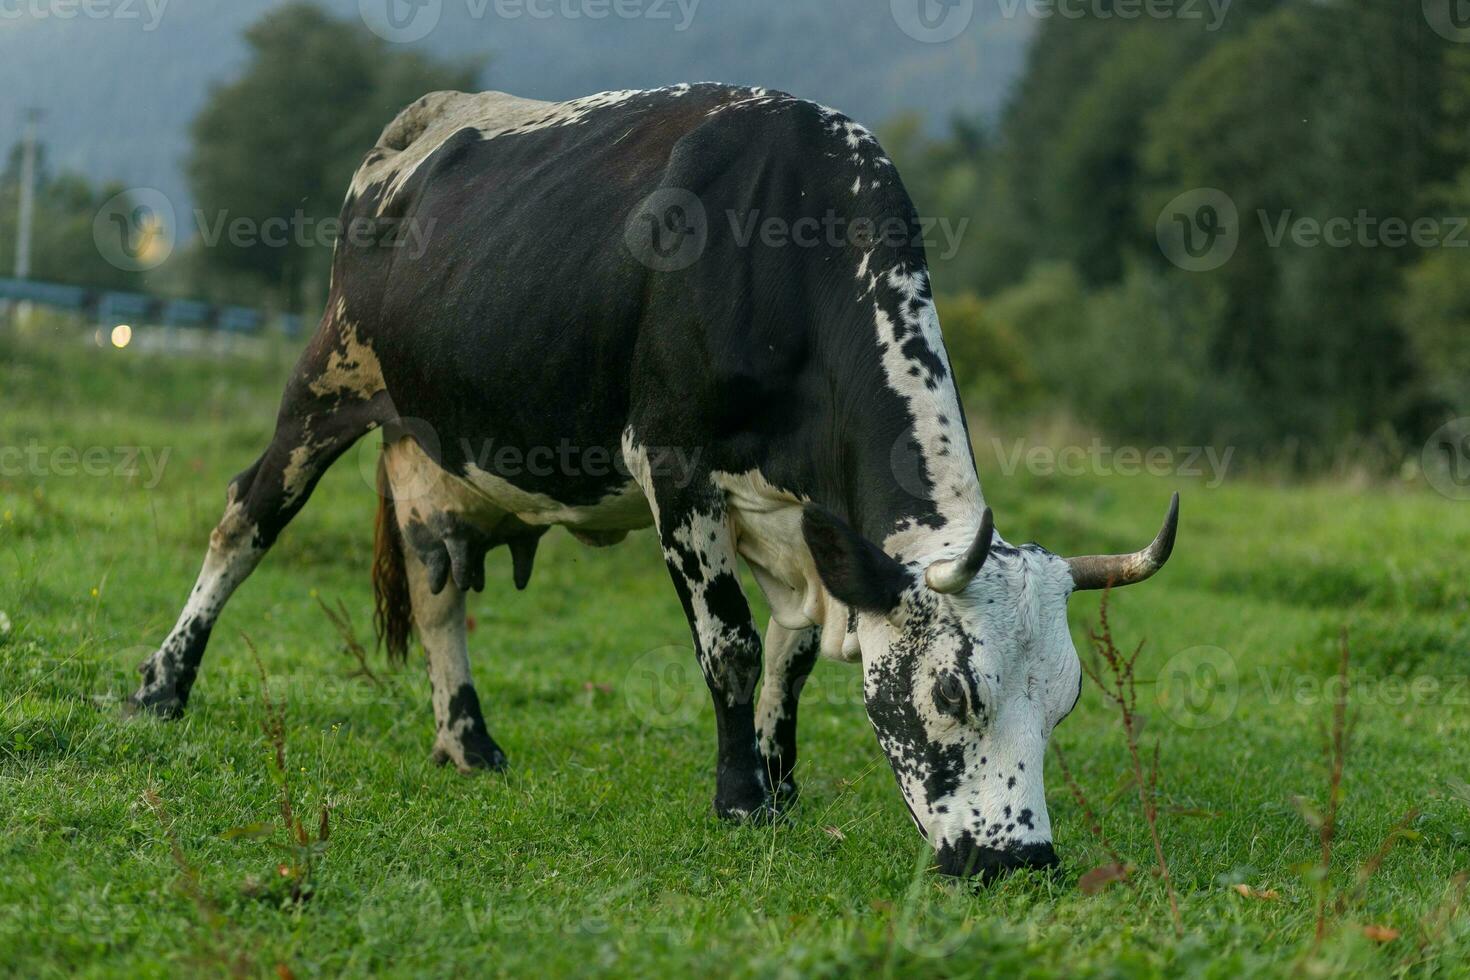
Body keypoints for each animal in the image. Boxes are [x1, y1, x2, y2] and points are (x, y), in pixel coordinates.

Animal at [132, 84, 1176, 881]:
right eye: (955, 692)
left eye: (1065, 700)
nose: (1021, 862)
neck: (785, 248)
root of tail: (429, 119)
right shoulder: (674, 467)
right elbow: (734, 648)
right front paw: (741, 799)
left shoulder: (799, 518)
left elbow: (793, 653)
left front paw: (781, 784)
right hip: (332, 374)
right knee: (246, 517)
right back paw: (161, 685)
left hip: (434, 449)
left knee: (436, 589)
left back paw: (467, 742)